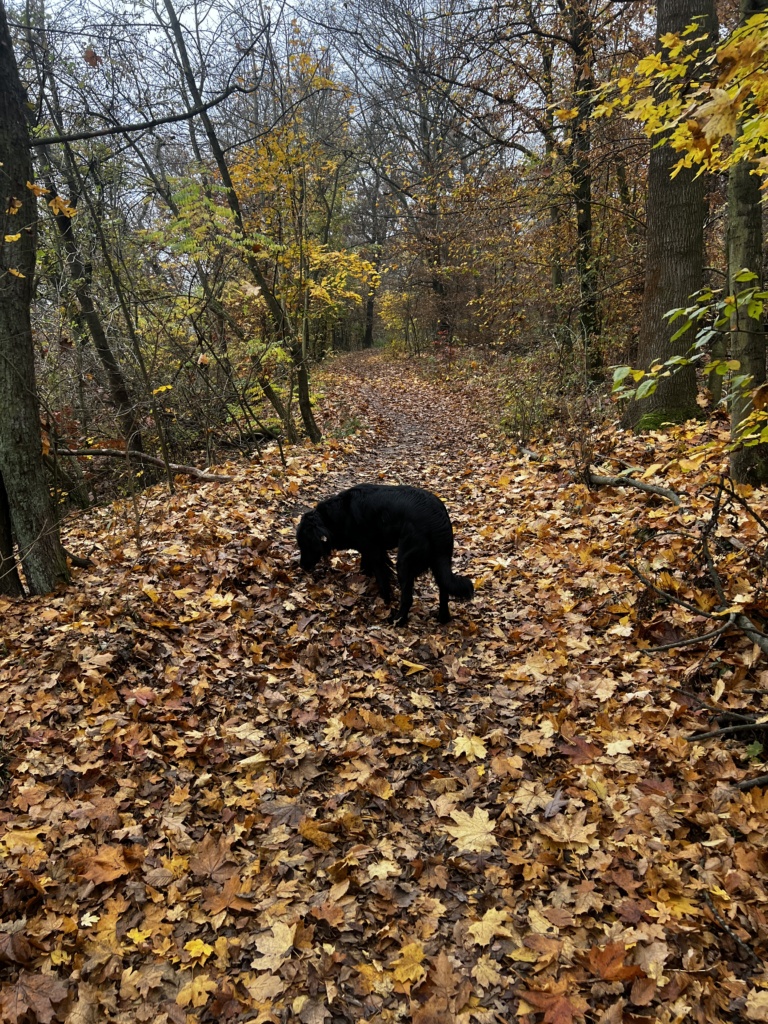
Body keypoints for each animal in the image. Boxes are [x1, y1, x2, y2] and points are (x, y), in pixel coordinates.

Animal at [296, 485, 473, 622]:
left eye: (305, 544)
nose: (302, 566)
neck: (338, 515)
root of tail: (438, 518)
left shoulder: (374, 550)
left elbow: (382, 578)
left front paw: (385, 600)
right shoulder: (372, 549)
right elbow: (366, 566)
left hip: (405, 562)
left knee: (408, 598)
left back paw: (398, 620)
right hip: (439, 560)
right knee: (444, 589)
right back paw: (443, 618)